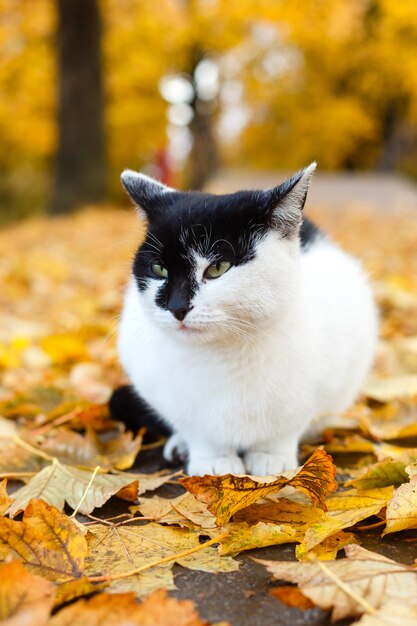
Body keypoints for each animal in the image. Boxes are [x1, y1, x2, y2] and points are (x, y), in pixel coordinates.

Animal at [116, 163, 376, 476]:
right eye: (159, 269)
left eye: (217, 268)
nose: (177, 307)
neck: (227, 356)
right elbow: (198, 431)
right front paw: (214, 462)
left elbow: (287, 428)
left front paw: (271, 457)